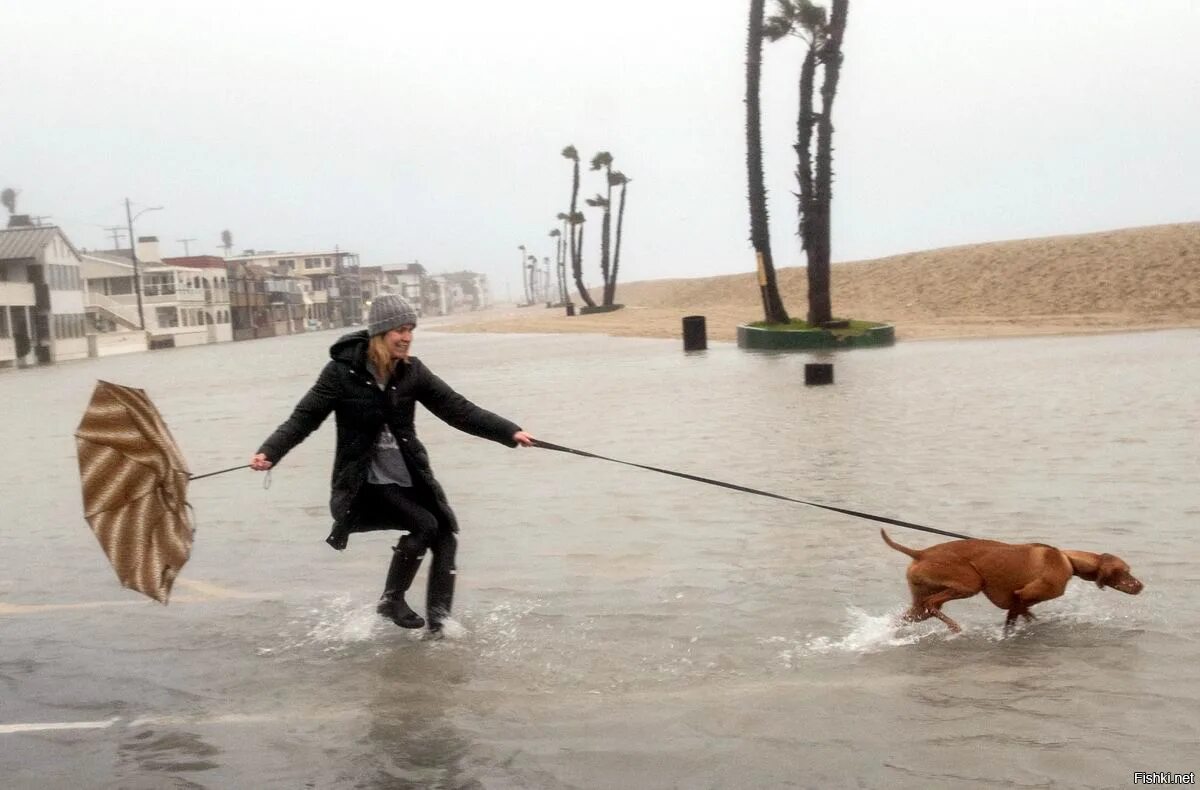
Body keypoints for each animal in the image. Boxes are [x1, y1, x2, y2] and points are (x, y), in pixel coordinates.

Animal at [883, 528, 1142, 633]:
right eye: (1126, 571)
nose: (1141, 586)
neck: (1068, 560)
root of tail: (920, 553)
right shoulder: (1021, 597)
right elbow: (1018, 618)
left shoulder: (1018, 603)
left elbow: (1024, 617)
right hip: (971, 582)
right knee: (933, 604)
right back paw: (955, 628)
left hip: (918, 606)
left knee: (919, 611)